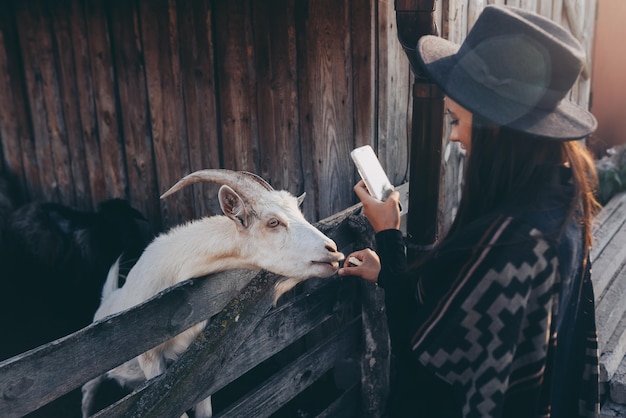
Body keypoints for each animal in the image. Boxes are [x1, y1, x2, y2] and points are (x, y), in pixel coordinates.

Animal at [80, 170, 344, 418]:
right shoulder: (151, 361)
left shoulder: (196, 367)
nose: (332, 250)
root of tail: (107, 300)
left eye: (300, 214)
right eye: (273, 222)